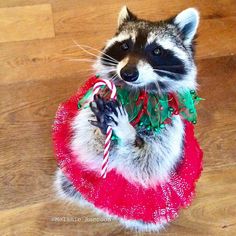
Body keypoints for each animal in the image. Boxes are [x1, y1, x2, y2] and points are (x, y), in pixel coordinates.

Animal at [54, 6, 200, 231]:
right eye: (124, 46)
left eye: (156, 51)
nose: (128, 73)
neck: (136, 94)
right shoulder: (94, 102)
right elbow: (90, 149)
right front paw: (107, 131)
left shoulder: (170, 126)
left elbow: (149, 164)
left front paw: (126, 133)